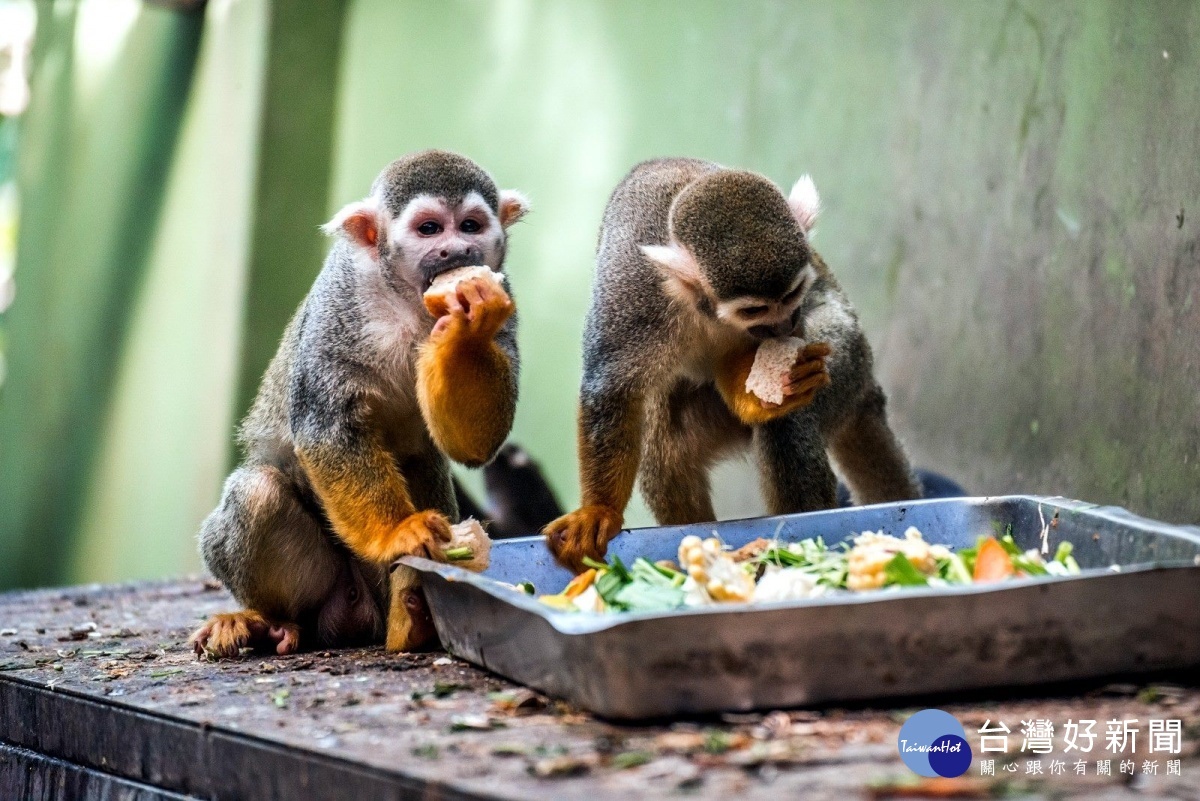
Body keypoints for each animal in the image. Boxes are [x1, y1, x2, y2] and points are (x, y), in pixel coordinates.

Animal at [189, 149, 528, 657]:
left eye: (470, 226)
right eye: (430, 229)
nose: (456, 252)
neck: (408, 301)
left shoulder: (506, 293)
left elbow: (473, 444)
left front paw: (470, 320)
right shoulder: (340, 301)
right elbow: (326, 428)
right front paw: (397, 532)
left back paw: (416, 618)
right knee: (258, 493)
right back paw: (270, 622)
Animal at [544, 158, 916, 568]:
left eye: (793, 295)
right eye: (754, 310)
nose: (784, 325)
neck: (699, 305)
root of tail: (868, 387)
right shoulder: (637, 292)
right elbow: (611, 388)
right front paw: (599, 511)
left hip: (851, 359)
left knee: (789, 420)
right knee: (665, 456)